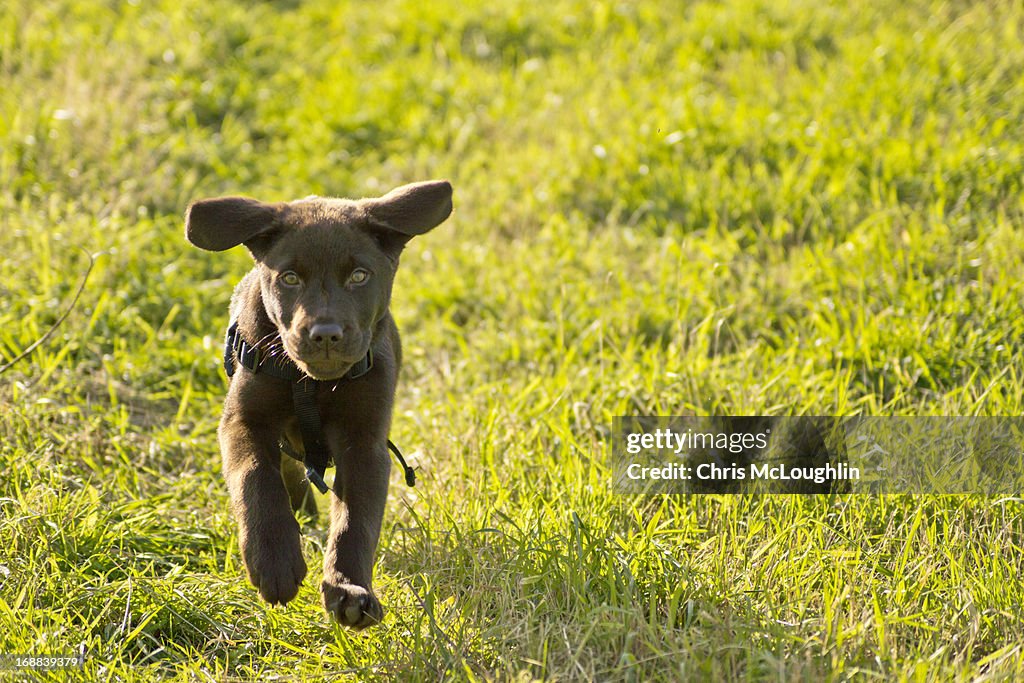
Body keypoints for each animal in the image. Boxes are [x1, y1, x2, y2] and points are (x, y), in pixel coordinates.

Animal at [186, 179, 450, 626]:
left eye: (360, 276)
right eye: (290, 278)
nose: (325, 334)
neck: (312, 385)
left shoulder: (364, 441)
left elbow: (355, 521)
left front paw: (350, 590)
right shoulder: (244, 421)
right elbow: (256, 479)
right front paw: (275, 561)